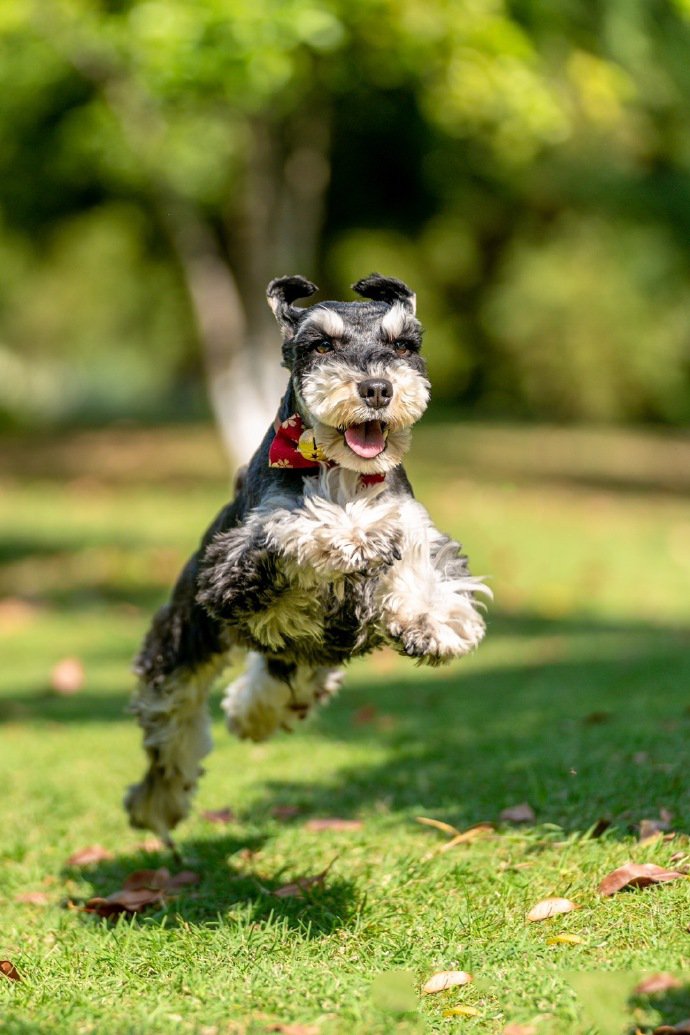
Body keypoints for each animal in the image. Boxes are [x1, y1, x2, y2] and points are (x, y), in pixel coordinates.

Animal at [125, 271, 490, 844]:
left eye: (403, 345)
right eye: (320, 345)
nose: (377, 388)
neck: (345, 473)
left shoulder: (418, 526)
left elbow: (418, 556)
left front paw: (432, 619)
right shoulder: (234, 569)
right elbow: (296, 526)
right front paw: (352, 534)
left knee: (281, 677)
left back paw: (253, 714)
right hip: (181, 645)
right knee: (173, 733)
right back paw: (156, 806)